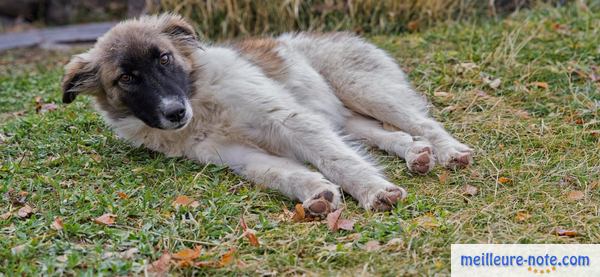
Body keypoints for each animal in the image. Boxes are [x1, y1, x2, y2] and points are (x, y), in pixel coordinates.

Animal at [61, 12, 474, 213]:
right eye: (126, 79)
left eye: (164, 58)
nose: (176, 113)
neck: (203, 102)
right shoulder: (236, 154)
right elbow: (281, 172)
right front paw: (317, 192)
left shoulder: (288, 120)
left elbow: (339, 161)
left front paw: (373, 190)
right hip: (341, 117)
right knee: (391, 133)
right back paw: (416, 154)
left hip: (364, 90)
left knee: (421, 121)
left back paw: (449, 151)